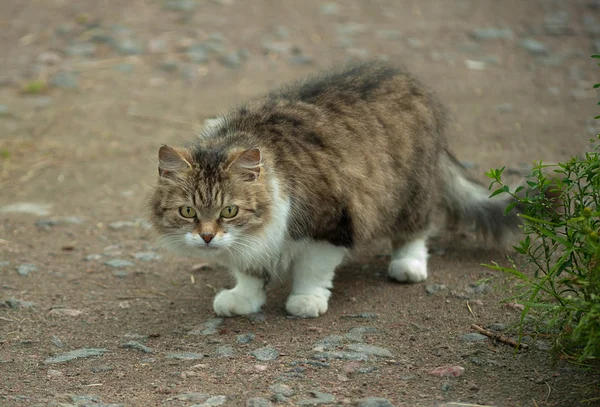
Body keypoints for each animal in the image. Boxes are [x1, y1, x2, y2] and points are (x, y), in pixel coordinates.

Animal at [146, 62, 520, 320]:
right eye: (188, 212)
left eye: (229, 211)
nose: (208, 237)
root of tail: (407, 79)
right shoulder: (253, 243)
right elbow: (249, 271)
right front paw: (244, 299)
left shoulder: (330, 223)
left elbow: (313, 269)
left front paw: (306, 300)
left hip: (410, 190)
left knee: (416, 230)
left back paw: (407, 265)